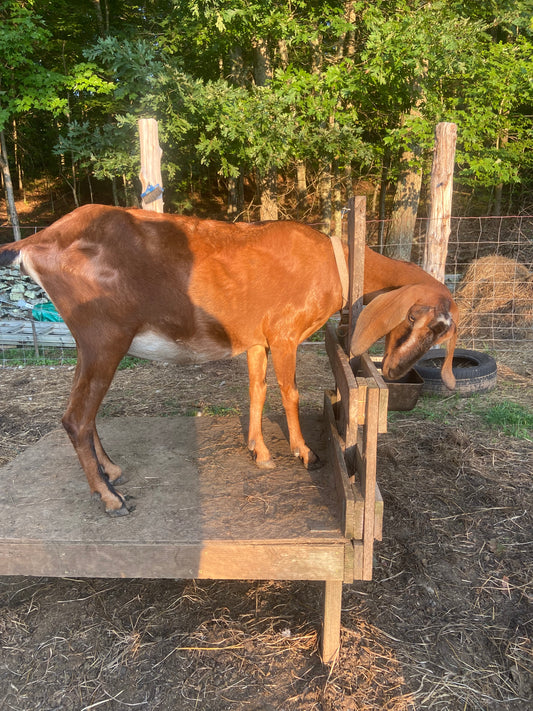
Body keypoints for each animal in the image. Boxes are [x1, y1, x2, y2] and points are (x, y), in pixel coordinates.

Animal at [0, 203, 458, 516]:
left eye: (442, 332)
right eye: (418, 319)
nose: (395, 371)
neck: (336, 265)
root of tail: (30, 243)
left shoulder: (256, 339)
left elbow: (257, 389)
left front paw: (259, 450)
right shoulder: (285, 333)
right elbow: (289, 392)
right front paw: (303, 452)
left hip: (88, 342)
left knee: (83, 411)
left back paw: (112, 471)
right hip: (104, 335)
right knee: (76, 417)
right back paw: (111, 498)